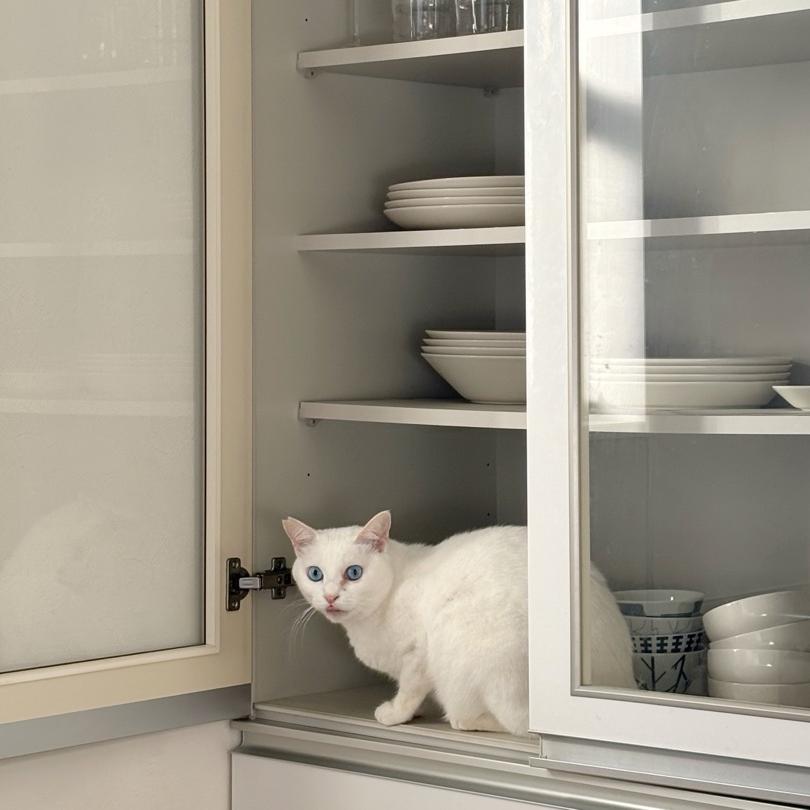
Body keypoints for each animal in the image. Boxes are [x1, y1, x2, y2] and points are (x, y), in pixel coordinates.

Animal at [282, 511, 634, 736]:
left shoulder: (419, 655)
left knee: (512, 725)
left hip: (463, 642)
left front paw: (396, 713)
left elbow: (409, 689)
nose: (330, 597)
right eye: (315, 574)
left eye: (354, 573)